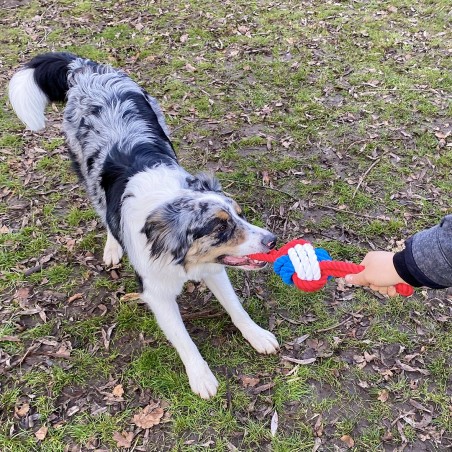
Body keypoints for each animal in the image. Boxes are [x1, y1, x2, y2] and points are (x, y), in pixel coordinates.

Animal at [7, 53, 278, 400]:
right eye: (219, 228)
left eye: (239, 216)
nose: (272, 240)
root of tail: (84, 68)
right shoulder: (156, 293)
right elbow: (184, 339)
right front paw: (201, 377)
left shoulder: (213, 269)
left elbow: (236, 307)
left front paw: (257, 335)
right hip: (87, 175)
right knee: (104, 214)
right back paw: (112, 247)